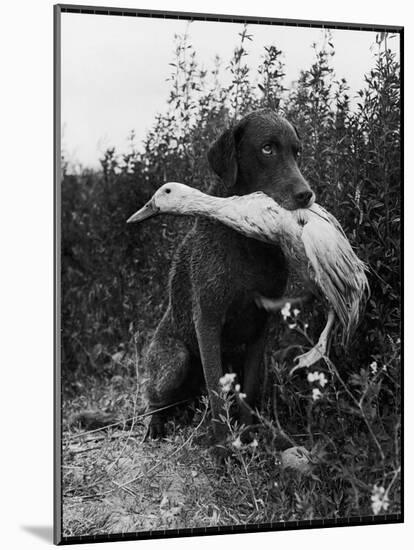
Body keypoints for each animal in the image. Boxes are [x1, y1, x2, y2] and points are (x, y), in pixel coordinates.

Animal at [136, 111, 314, 444]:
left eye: (297, 152)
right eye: (267, 149)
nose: (306, 195)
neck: (248, 242)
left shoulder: (260, 327)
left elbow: (250, 389)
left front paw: (248, 434)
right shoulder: (207, 321)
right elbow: (217, 391)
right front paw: (223, 443)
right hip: (174, 360)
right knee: (155, 400)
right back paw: (156, 425)